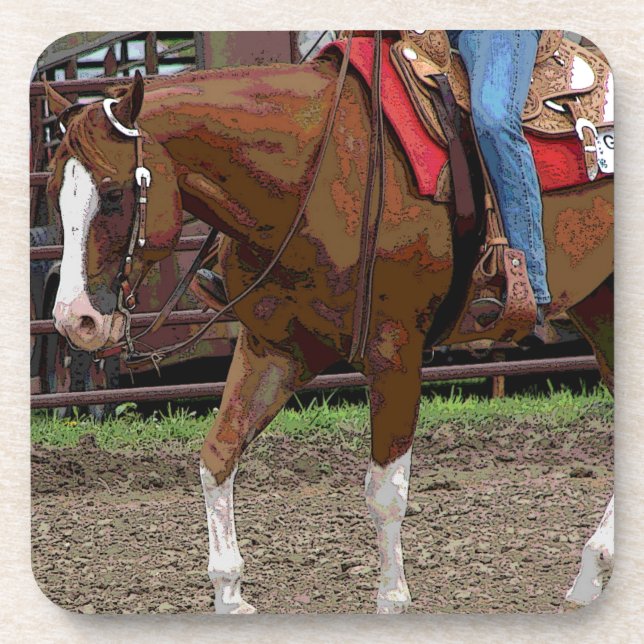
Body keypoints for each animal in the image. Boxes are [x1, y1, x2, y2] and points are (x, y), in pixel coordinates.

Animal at [43, 45, 614, 613]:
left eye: (113, 194)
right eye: (52, 192)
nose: (75, 319)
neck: (319, 178)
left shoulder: (395, 354)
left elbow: (385, 492)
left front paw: (392, 602)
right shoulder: (273, 349)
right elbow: (218, 454)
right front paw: (229, 594)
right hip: (597, 302)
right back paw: (590, 575)